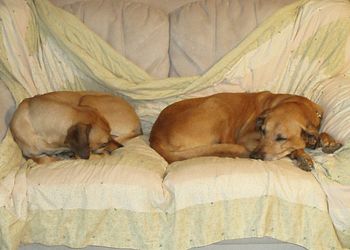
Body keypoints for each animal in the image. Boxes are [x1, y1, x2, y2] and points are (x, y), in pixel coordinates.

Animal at [10, 91, 142, 164]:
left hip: (87, 97)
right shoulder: (30, 154)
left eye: (110, 133)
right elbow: (44, 159)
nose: (120, 147)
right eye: (103, 143)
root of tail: (138, 124)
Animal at [150, 91, 342, 171]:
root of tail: (155, 137)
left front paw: (327, 140)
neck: (298, 104)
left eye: (281, 138)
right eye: (263, 131)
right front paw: (302, 154)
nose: (254, 156)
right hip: (218, 105)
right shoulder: (247, 140)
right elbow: (295, 149)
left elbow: (319, 135)